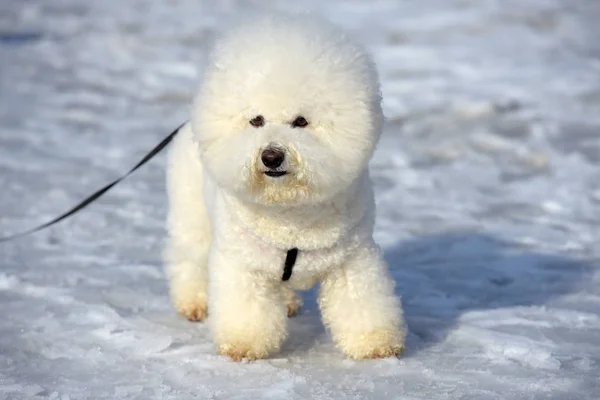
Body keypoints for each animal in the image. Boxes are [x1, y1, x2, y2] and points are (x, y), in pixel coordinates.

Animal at [164, 14, 406, 360]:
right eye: (256, 120)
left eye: (301, 121)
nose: (271, 156)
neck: (289, 211)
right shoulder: (244, 265)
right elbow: (246, 310)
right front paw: (243, 345)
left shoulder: (352, 259)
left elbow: (361, 302)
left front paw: (376, 344)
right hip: (191, 211)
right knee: (189, 257)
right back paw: (194, 303)